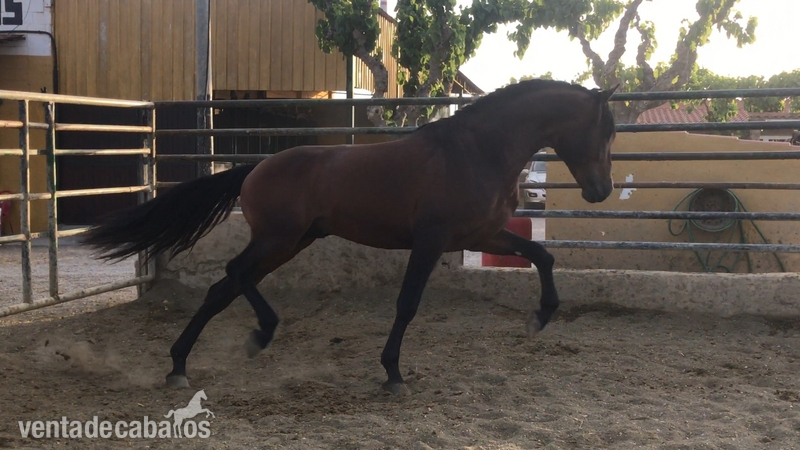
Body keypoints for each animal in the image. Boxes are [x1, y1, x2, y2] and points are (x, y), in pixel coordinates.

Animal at [83, 79, 617, 395]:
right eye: (607, 130)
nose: (601, 190)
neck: (476, 151)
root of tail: (255, 168)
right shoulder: (432, 240)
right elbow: (407, 304)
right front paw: (393, 373)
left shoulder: (481, 234)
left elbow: (542, 255)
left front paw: (541, 316)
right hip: (280, 239)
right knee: (234, 275)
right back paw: (256, 334)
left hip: (292, 241)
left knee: (223, 287)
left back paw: (181, 364)